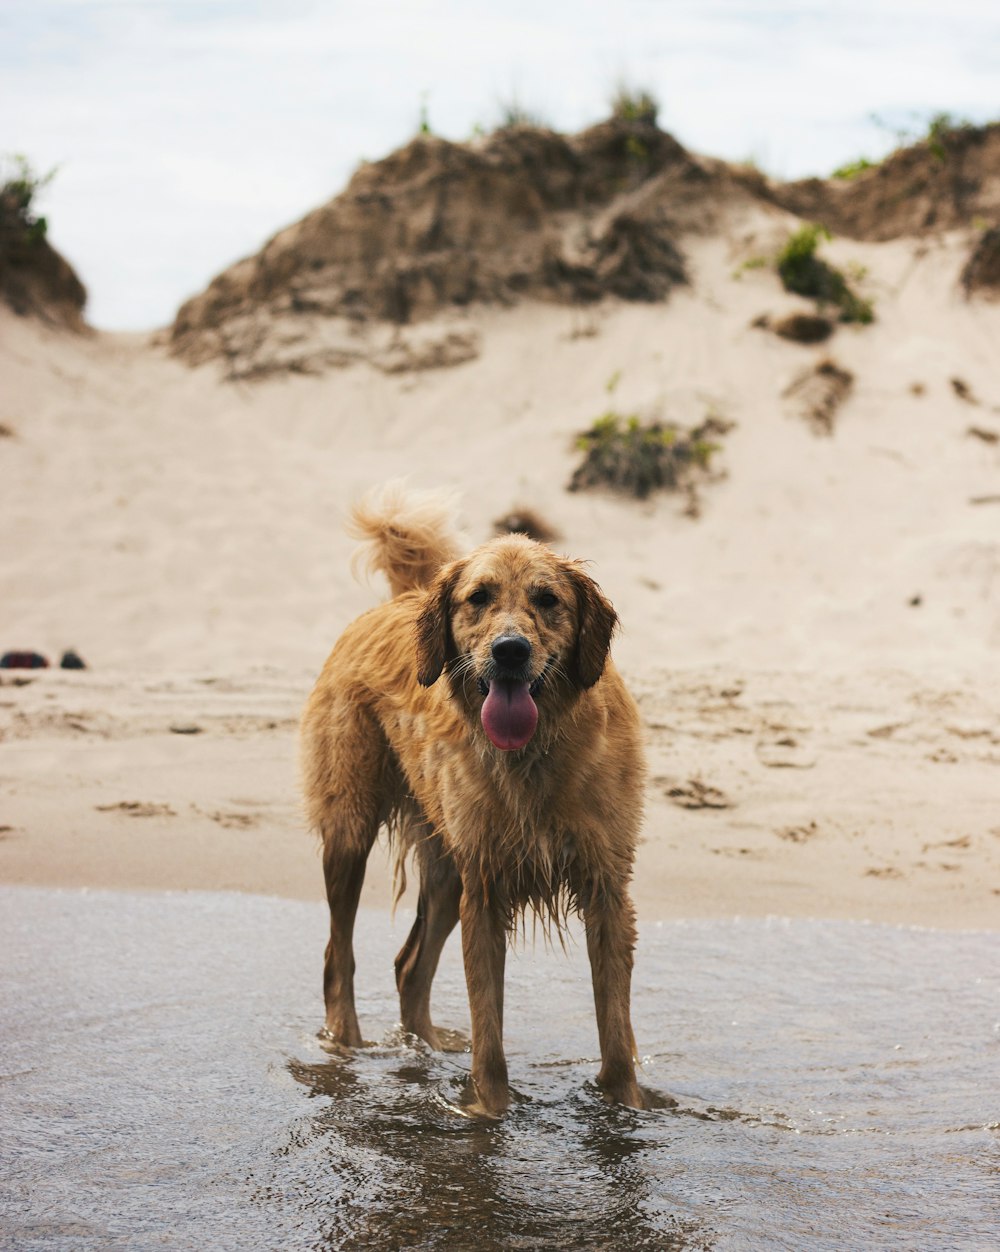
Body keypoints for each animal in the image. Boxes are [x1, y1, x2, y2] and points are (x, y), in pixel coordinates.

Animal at [302, 488, 650, 1116]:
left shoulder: (606, 887)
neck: (534, 755)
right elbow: (489, 1033)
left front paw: (625, 1110)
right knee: (337, 955)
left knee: (409, 967)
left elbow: (615, 1032)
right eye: (478, 598)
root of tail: (404, 598)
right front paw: (488, 1113)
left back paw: (425, 1049)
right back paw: (347, 1049)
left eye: (547, 599)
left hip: (446, 868)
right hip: (351, 830)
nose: (510, 651)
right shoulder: (485, 890)